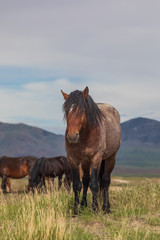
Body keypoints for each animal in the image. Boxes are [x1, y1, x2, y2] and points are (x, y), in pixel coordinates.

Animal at [61, 87, 121, 215]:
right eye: (67, 111)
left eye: (82, 111)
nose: (72, 136)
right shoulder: (72, 159)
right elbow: (77, 185)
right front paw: (76, 210)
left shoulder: (96, 158)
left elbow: (94, 184)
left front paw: (95, 209)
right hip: (85, 161)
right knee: (86, 180)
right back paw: (84, 205)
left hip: (110, 158)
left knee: (105, 180)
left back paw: (106, 208)